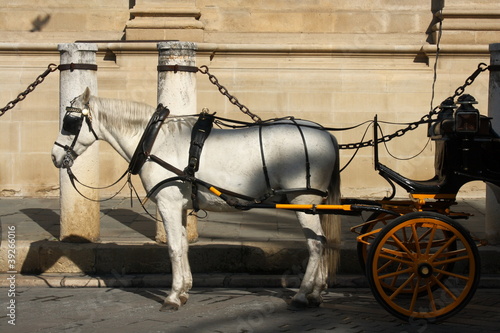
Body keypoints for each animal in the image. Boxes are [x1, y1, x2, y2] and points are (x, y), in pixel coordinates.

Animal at [50, 87, 342, 308]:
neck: (154, 141)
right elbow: (183, 246)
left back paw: (303, 294)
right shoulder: (178, 206)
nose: (54, 156)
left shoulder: (167, 204)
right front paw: (184, 289)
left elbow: (173, 247)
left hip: (302, 200)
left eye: (70, 123)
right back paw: (317, 293)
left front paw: (171, 296)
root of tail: (327, 134)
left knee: (316, 244)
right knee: (323, 241)